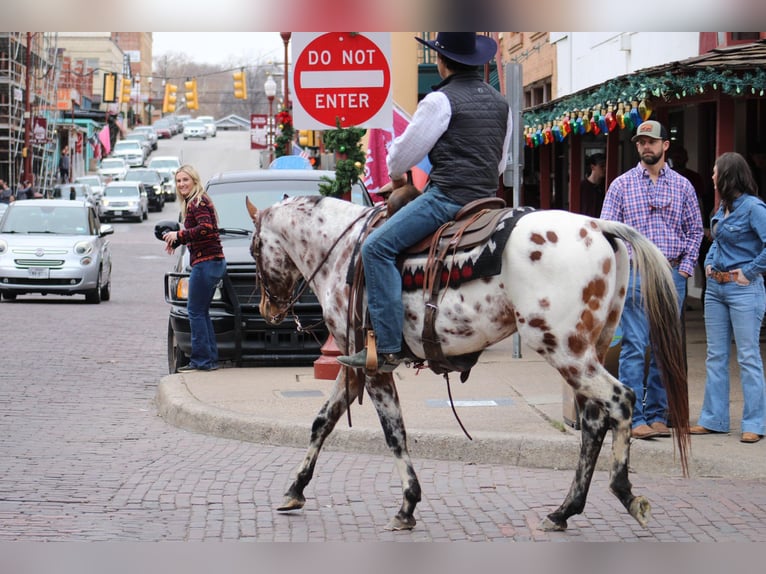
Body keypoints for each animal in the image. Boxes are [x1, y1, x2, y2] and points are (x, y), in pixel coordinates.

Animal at [246, 196, 688, 532]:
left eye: (254, 249)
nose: (266, 309)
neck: (343, 253)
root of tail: (599, 225)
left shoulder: (373, 365)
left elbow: (394, 433)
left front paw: (407, 505)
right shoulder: (353, 364)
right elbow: (322, 421)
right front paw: (295, 490)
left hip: (565, 351)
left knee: (621, 401)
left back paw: (624, 493)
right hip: (587, 349)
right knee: (595, 424)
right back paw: (564, 510)